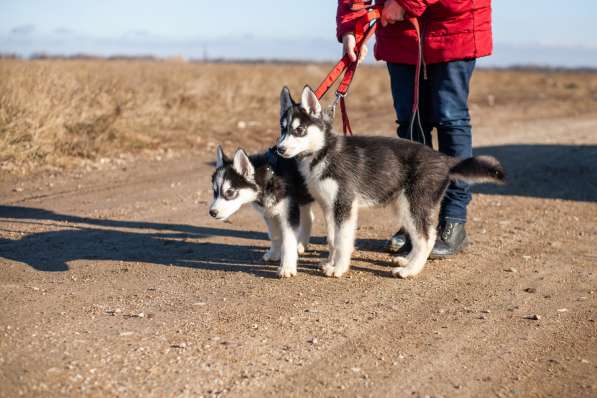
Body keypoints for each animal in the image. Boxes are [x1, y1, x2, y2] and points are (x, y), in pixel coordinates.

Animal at [207, 145, 314, 276]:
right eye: (215, 192)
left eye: (230, 192)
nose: (212, 212)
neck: (270, 176)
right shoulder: (269, 213)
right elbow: (275, 235)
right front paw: (274, 254)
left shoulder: (289, 213)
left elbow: (288, 240)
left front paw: (287, 267)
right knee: (309, 218)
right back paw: (302, 244)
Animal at [274, 86, 502, 280]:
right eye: (283, 129)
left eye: (299, 130)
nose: (280, 149)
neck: (323, 152)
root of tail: (444, 159)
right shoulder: (329, 206)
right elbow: (332, 239)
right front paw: (331, 263)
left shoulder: (344, 205)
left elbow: (342, 240)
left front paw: (338, 268)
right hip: (404, 205)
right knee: (419, 236)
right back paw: (406, 260)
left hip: (414, 203)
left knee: (426, 238)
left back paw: (410, 270)